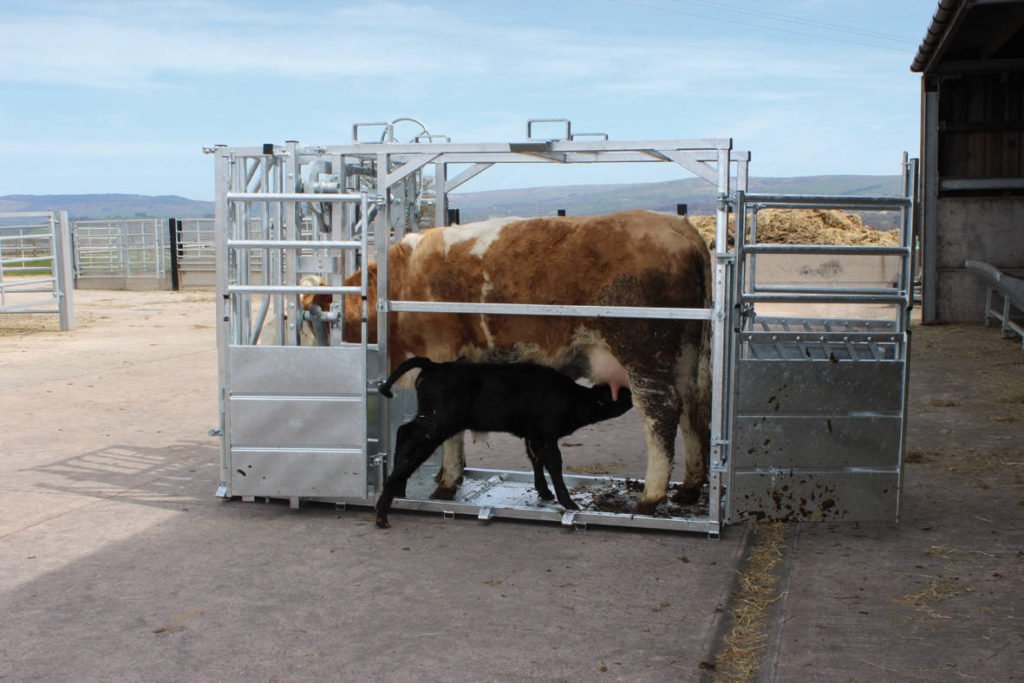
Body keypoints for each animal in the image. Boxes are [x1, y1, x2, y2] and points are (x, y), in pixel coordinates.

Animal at [374, 356, 634, 528]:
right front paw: (569, 502)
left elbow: (536, 460)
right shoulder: (547, 434)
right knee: (410, 444)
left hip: (430, 419)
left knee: (403, 432)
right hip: (438, 423)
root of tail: (435, 365)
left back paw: (398, 490)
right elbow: (553, 464)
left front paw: (544, 491)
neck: (573, 398)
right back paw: (383, 510)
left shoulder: (533, 435)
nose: (632, 394)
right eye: (622, 393)